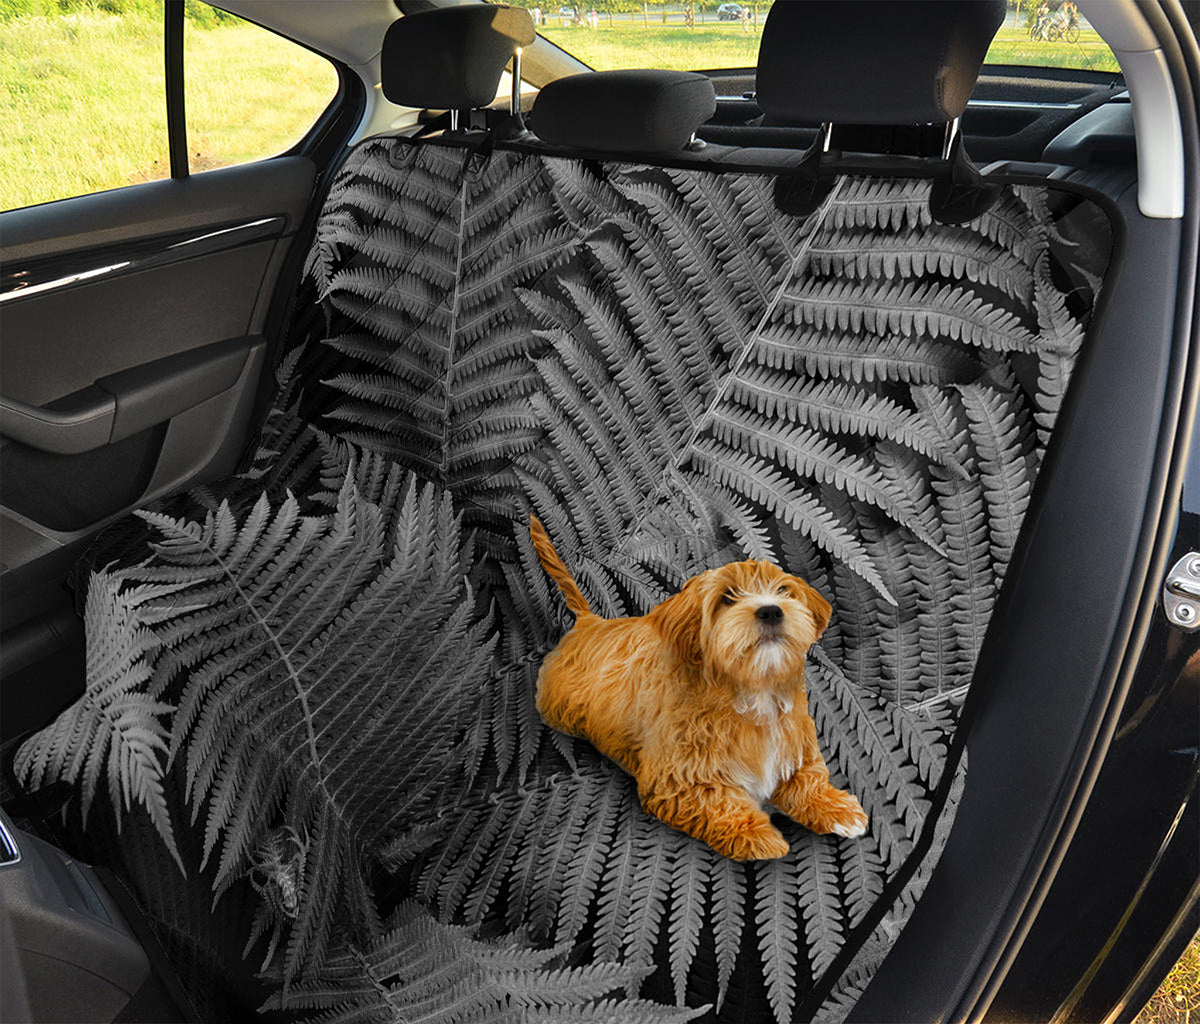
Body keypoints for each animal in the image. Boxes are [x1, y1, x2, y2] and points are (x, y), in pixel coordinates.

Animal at [530, 516, 868, 859]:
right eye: (727, 597)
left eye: (784, 590)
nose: (772, 610)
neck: (753, 695)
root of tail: (589, 624)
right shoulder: (676, 780)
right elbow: (717, 800)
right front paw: (755, 834)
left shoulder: (793, 750)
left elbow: (808, 780)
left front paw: (838, 808)